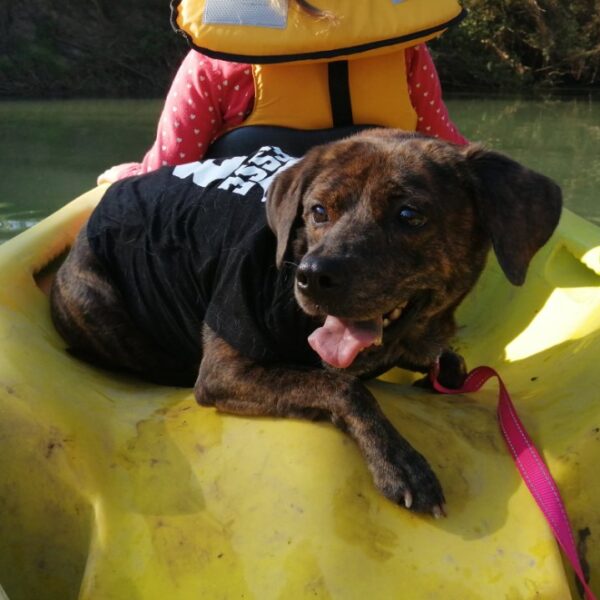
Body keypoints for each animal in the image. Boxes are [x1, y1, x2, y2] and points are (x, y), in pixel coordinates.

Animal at [51, 131, 564, 516]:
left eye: (409, 215)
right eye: (318, 211)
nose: (312, 276)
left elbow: (444, 364)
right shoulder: (225, 368)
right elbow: (343, 386)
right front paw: (398, 461)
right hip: (95, 295)